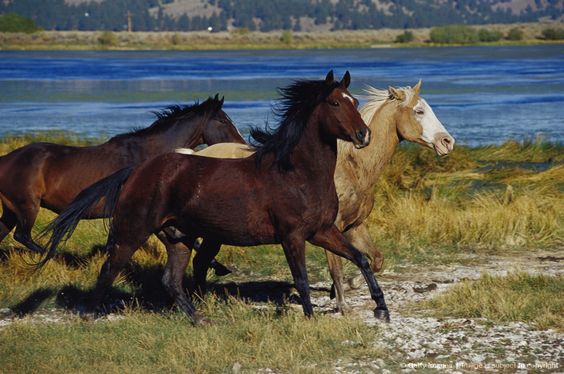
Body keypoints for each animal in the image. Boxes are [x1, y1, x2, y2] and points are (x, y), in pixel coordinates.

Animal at [0, 95, 245, 256]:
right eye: (223, 120)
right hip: (27, 206)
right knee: (23, 236)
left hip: (11, 210)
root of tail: (6, 159)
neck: (147, 155)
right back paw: (57, 256)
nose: (243, 146)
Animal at [41, 71, 390, 324]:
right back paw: (88, 316)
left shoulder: (322, 231)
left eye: (354, 99)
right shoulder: (292, 236)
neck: (296, 174)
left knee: (172, 280)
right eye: (334, 104)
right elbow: (301, 279)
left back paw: (200, 319)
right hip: (132, 232)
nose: (364, 135)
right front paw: (310, 319)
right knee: (109, 269)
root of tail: (136, 171)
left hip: (178, 237)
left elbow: (360, 258)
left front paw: (381, 309)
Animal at [174, 80, 456, 312]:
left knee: (200, 262)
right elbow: (336, 268)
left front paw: (348, 287)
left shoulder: (355, 226)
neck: (352, 169)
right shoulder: (333, 226)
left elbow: (375, 260)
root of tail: (194, 155)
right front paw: (342, 303)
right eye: (419, 111)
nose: (447, 142)